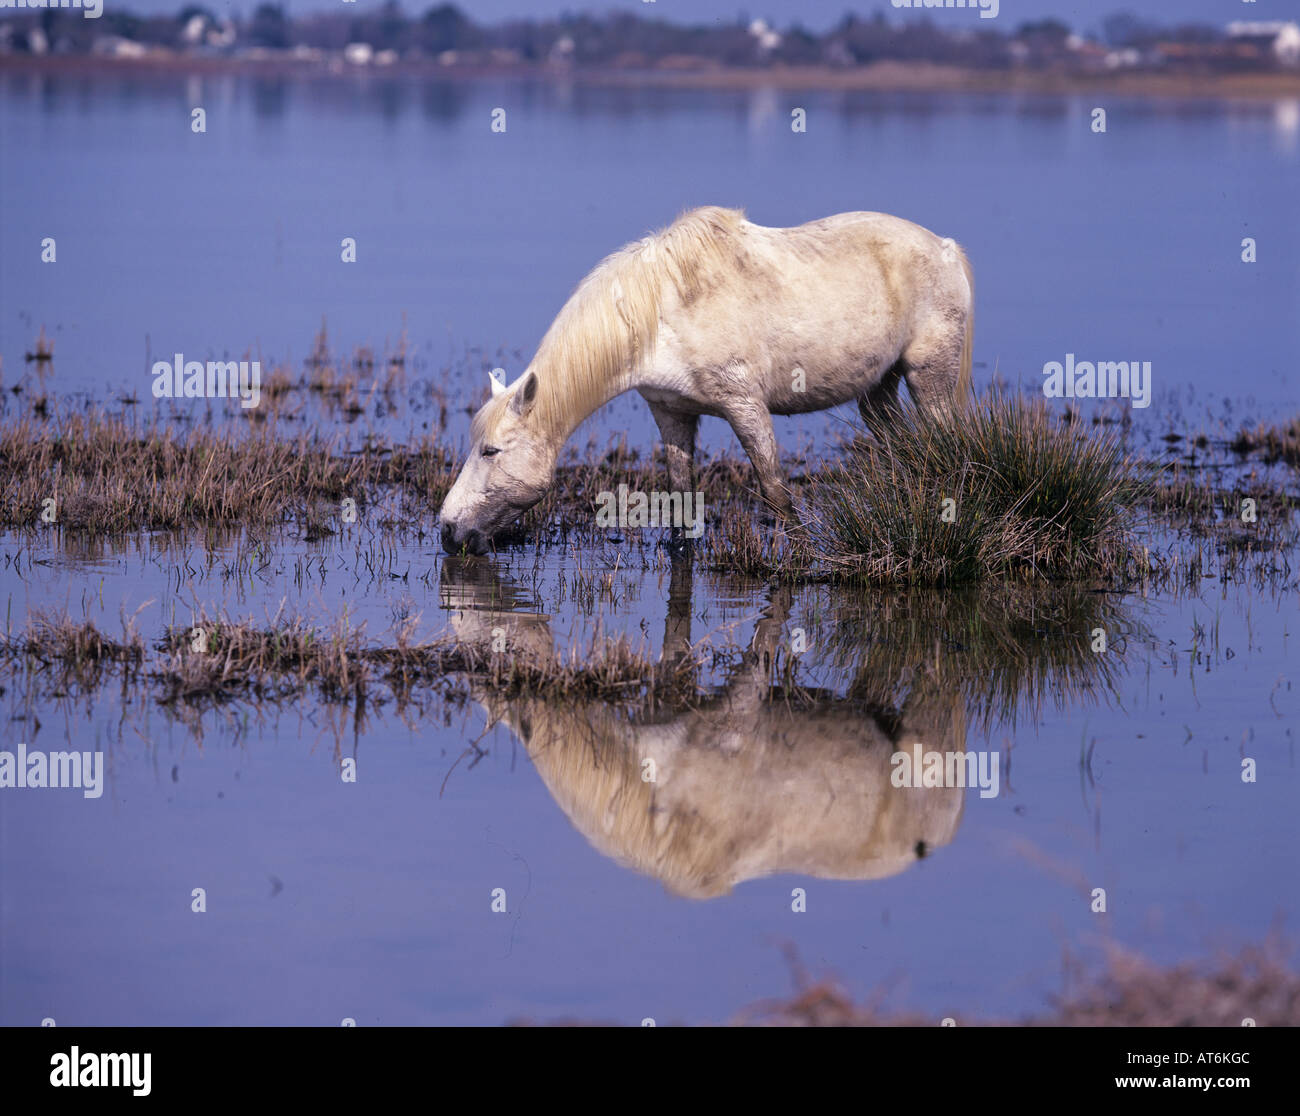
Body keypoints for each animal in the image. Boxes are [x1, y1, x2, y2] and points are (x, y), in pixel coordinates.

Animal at [441, 204, 972, 551]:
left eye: (491, 452)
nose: (448, 531)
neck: (662, 312)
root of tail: (945, 249)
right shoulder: (671, 412)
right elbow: (679, 498)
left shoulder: (745, 406)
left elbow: (776, 492)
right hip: (878, 391)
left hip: (929, 379)